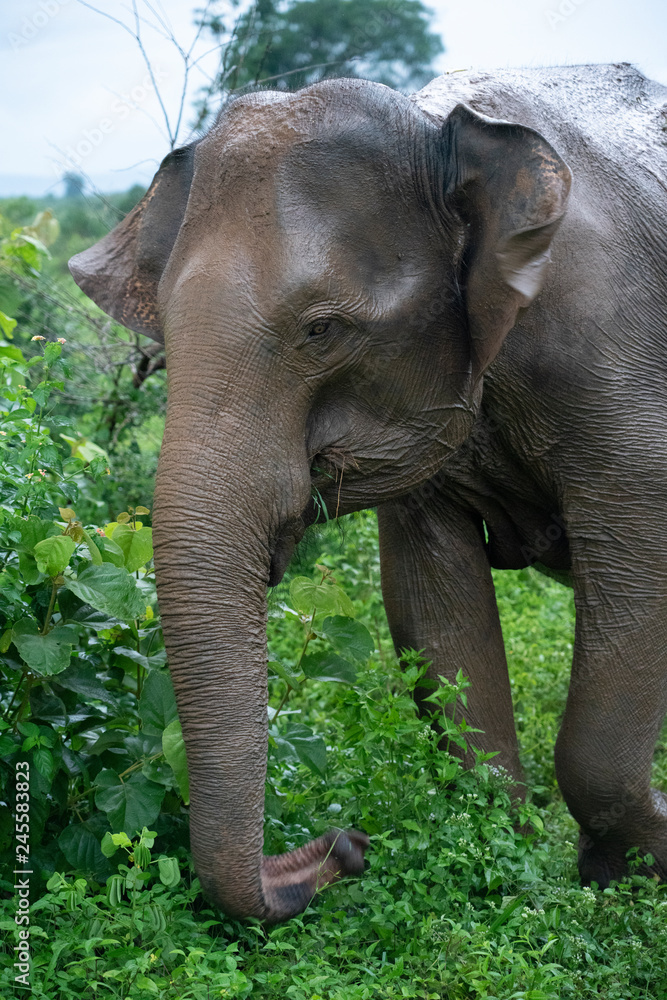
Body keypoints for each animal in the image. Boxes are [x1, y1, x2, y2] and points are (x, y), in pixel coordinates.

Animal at [69, 61, 667, 923]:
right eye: (164, 339)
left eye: (321, 331)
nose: (346, 844)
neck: (441, 128)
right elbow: (434, 610)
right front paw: (518, 875)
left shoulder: (622, 374)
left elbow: (635, 581)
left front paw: (626, 880)